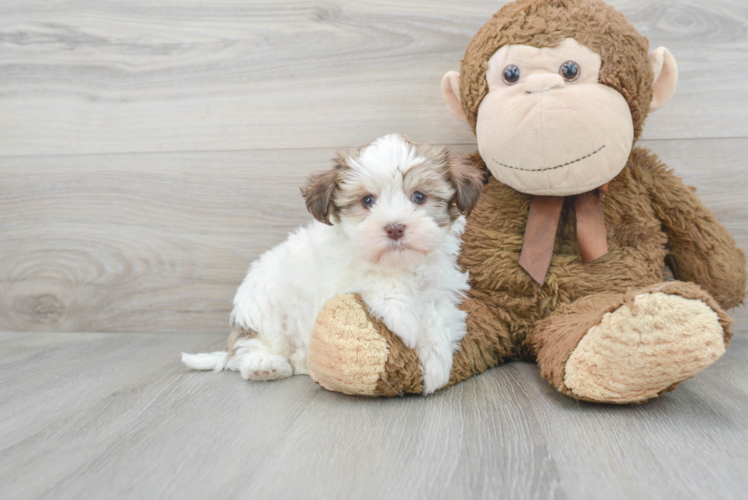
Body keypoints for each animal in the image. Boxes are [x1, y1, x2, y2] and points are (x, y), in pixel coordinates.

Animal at [183, 134, 482, 394]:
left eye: (419, 197)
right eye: (367, 200)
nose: (395, 227)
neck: (398, 265)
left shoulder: (440, 287)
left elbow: (437, 315)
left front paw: (436, 361)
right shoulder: (342, 275)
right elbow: (377, 283)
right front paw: (406, 322)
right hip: (262, 303)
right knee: (252, 346)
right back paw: (265, 365)